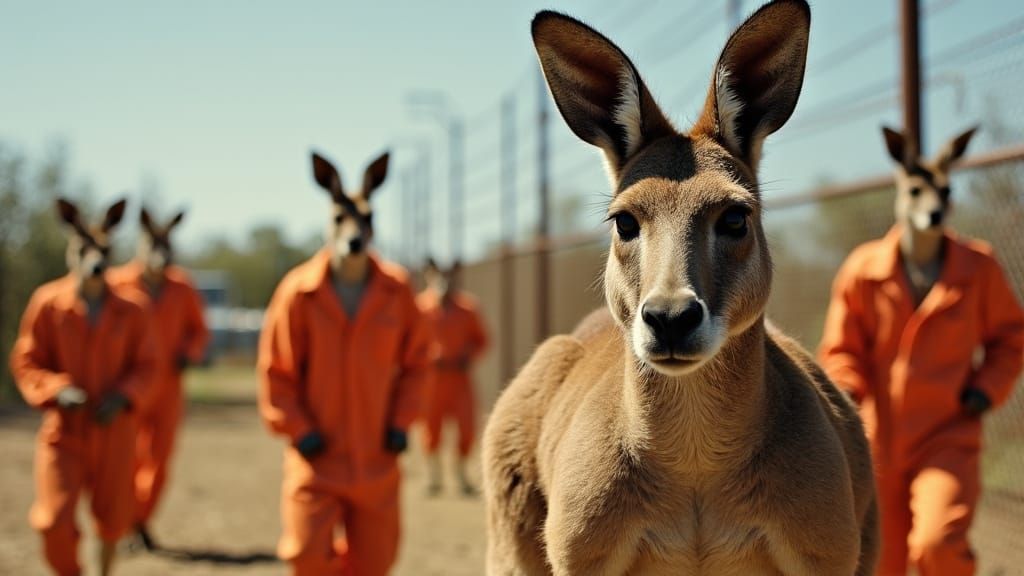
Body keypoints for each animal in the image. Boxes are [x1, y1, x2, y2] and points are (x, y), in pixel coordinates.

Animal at [482, 1, 878, 574]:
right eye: (624, 221)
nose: (670, 318)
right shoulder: (579, 548)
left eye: (736, 217)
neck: (695, 462)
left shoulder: (826, 548)